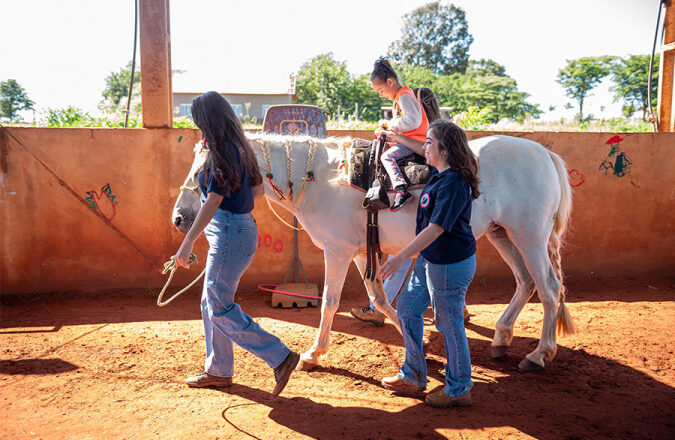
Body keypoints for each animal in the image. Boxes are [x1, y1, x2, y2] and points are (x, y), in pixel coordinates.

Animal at [172, 133, 572, 372]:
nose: (179, 218)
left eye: (205, 170)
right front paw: (415, 341)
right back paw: (502, 337)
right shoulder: (363, 252)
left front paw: (314, 354)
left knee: (549, 289)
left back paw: (539, 354)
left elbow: (330, 302)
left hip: (530, 236)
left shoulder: (338, 252)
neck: (321, 177)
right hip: (504, 234)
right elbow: (378, 298)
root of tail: (545, 154)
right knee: (526, 283)